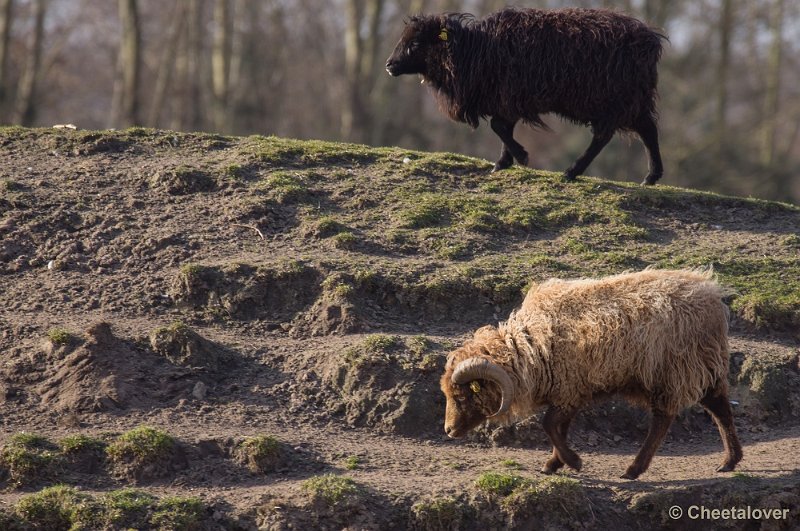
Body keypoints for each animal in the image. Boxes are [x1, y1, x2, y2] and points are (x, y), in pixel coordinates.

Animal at [388, 6, 668, 187]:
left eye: (415, 44)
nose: (389, 65)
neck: (473, 49)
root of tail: (651, 41)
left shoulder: (510, 97)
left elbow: (498, 127)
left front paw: (520, 157)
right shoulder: (505, 99)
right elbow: (502, 129)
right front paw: (503, 162)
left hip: (611, 99)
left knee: (605, 136)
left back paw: (571, 172)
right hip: (631, 100)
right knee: (647, 129)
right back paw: (651, 177)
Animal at [440, 268, 740, 480]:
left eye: (463, 397)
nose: (448, 430)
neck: (530, 349)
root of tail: (712, 295)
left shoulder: (570, 389)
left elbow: (548, 425)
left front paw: (572, 462)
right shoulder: (569, 392)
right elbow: (558, 428)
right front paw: (553, 464)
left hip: (674, 370)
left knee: (663, 420)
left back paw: (633, 470)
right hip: (702, 367)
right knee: (720, 409)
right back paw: (730, 461)